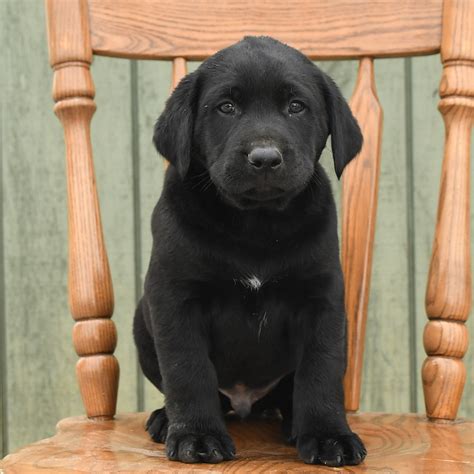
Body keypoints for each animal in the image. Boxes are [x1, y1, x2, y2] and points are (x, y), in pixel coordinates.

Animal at [133, 36, 366, 466]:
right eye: (226, 107)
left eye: (296, 106)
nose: (265, 157)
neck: (256, 224)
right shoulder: (175, 297)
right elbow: (188, 369)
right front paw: (197, 436)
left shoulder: (322, 299)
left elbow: (321, 369)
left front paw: (328, 435)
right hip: (143, 321)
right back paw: (165, 419)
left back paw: (293, 424)